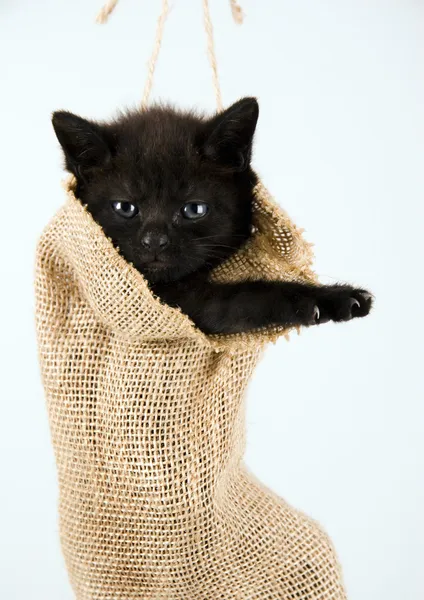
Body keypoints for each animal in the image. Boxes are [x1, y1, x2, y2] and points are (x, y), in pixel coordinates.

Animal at [52, 98, 372, 332]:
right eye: (125, 208)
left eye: (194, 209)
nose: (154, 241)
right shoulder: (176, 308)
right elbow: (246, 298)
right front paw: (328, 299)